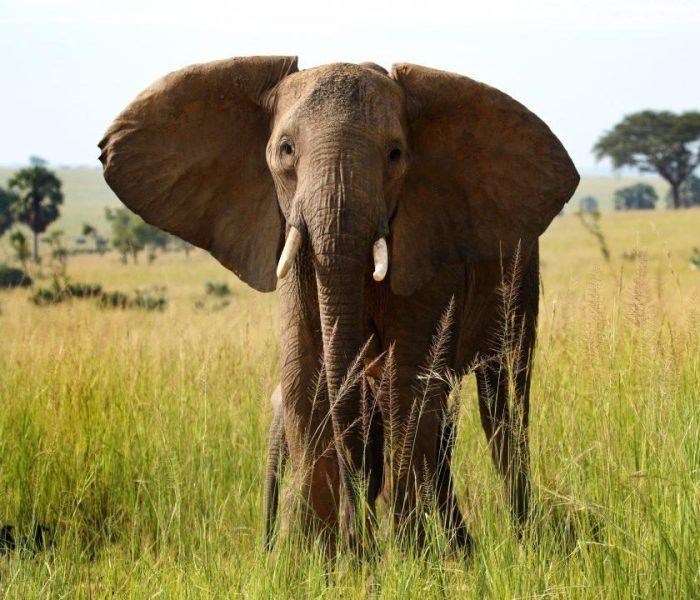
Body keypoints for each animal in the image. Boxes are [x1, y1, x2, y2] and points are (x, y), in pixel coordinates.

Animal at [99, 56, 579, 554]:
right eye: (286, 150)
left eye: (395, 154)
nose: (359, 540)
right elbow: (304, 379)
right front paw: (313, 556)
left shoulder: (428, 245)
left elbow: (407, 382)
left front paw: (408, 557)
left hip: (521, 271)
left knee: (503, 395)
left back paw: (520, 537)